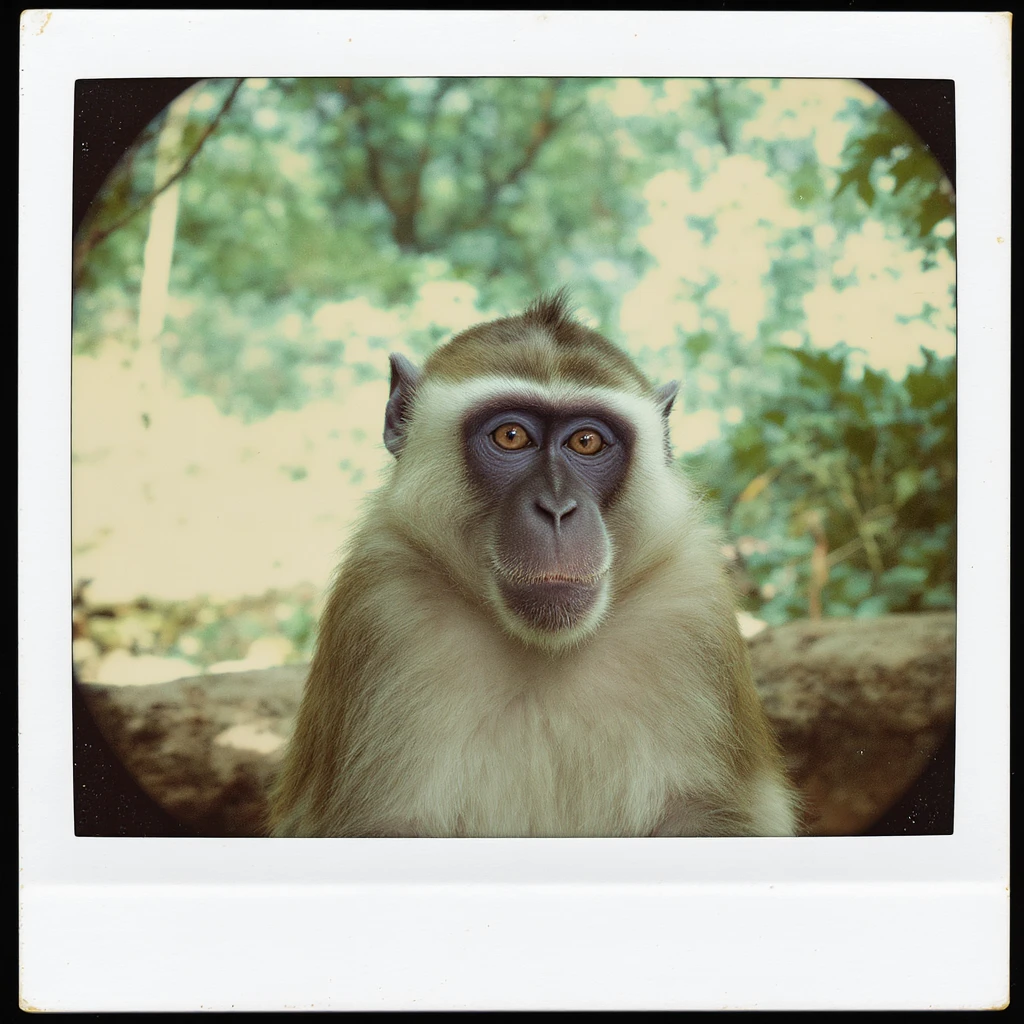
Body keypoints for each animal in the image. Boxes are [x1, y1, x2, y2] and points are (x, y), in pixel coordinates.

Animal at [269, 293, 800, 838]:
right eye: (511, 436)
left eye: (586, 441)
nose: (558, 509)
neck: (545, 649)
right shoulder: (381, 603)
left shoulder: (692, 605)